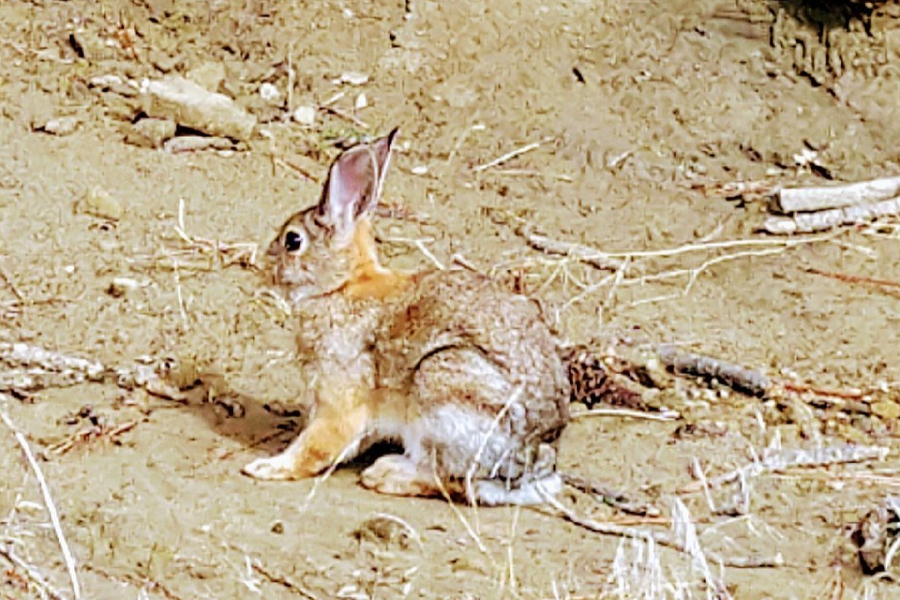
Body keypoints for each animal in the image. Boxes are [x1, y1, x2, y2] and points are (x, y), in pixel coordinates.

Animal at [244, 129, 568, 504]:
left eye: (292, 241)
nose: (264, 264)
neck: (341, 285)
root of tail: (530, 467)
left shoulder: (341, 392)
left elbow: (318, 444)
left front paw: (267, 467)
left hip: (444, 383)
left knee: (452, 480)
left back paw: (386, 474)